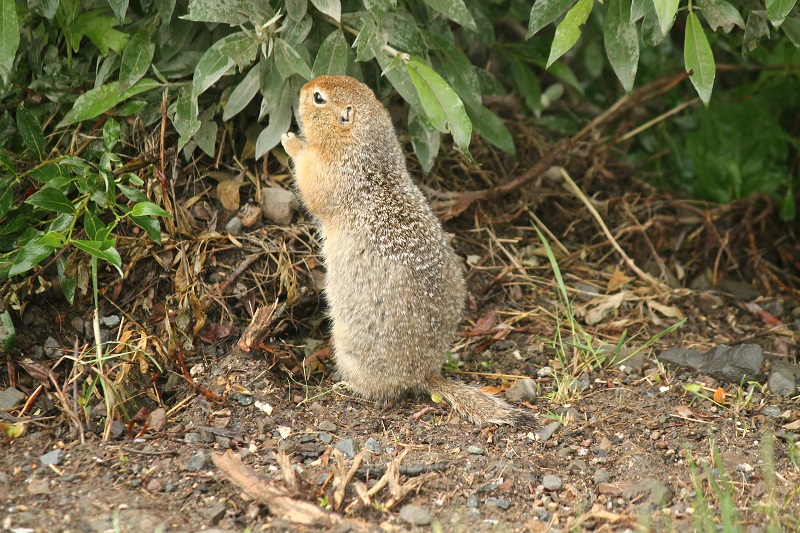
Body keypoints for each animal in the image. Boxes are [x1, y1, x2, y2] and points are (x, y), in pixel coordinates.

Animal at [282, 74, 532, 424]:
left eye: (318, 98)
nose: (303, 88)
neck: (368, 153)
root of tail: (422, 373)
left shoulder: (331, 171)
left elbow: (308, 181)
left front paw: (290, 141)